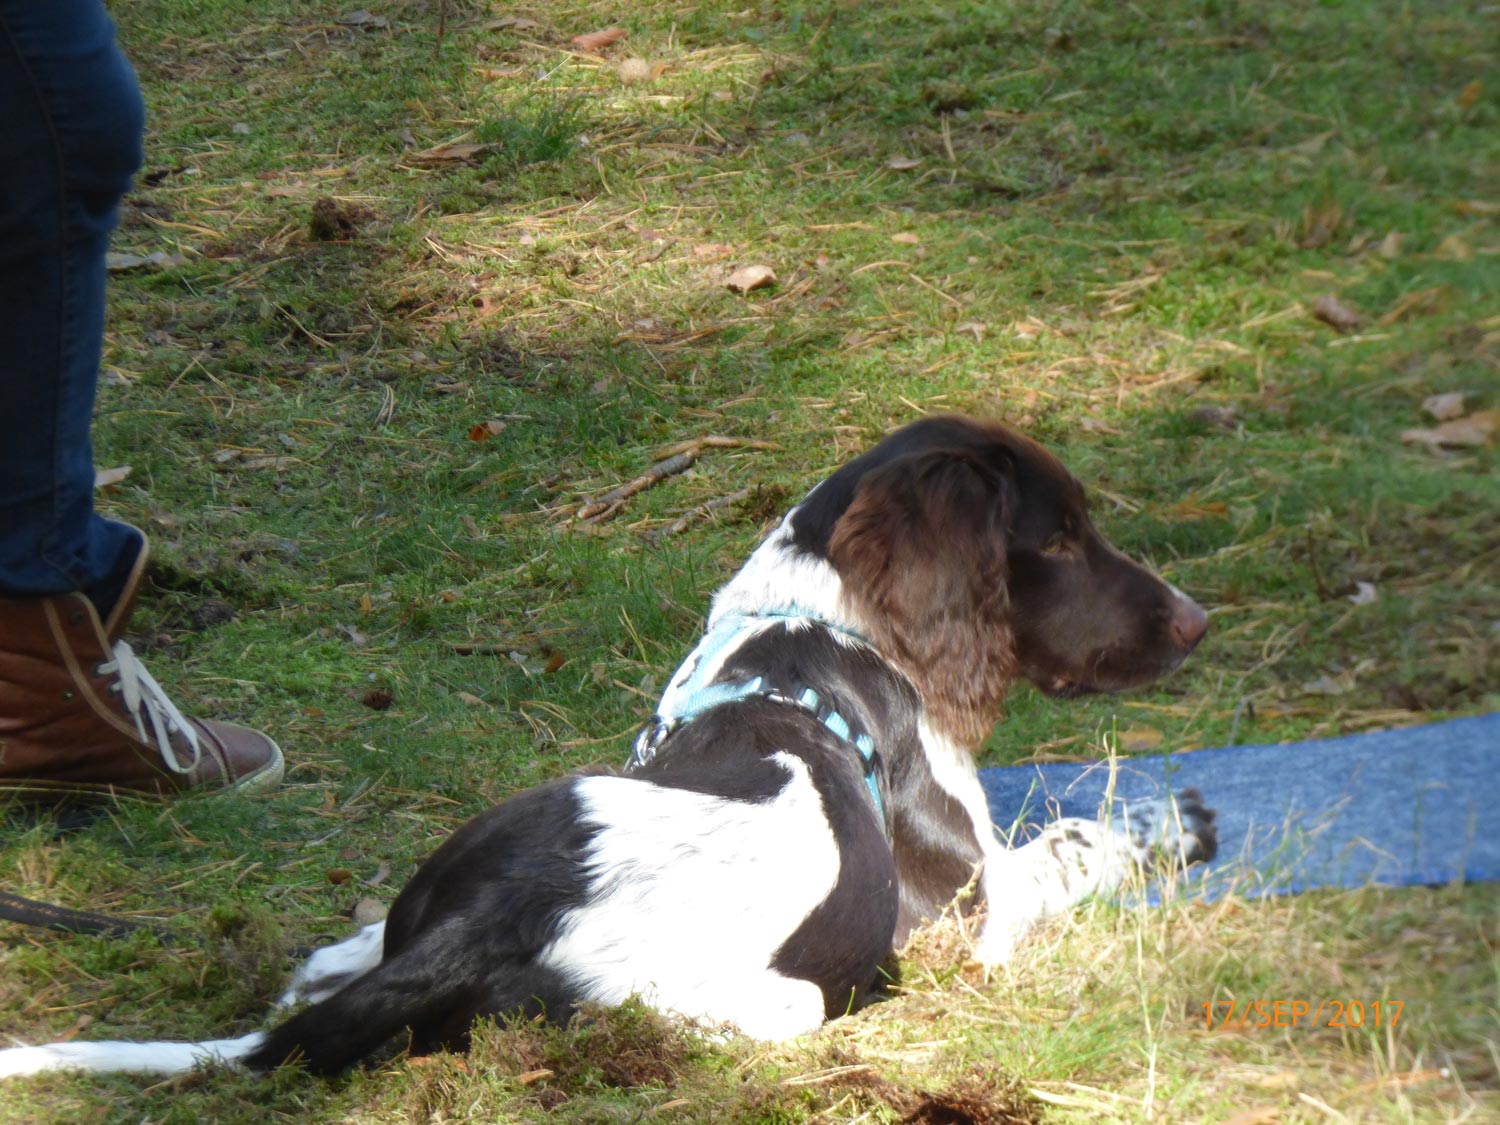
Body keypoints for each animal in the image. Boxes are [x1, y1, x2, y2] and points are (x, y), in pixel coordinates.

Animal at [0, 417, 1212, 1086]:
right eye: (1061, 538)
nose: (1198, 621)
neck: (815, 631)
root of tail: (503, 915)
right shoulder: (979, 912)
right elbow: (1075, 840)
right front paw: (1170, 824)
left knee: (338, 959)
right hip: (772, 1000)